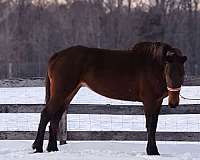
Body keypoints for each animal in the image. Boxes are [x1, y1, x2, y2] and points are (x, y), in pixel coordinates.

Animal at [32, 41, 187, 155]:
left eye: (182, 74)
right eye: (168, 73)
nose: (174, 103)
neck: (152, 65)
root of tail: (57, 56)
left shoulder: (157, 101)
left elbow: (153, 125)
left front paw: (153, 151)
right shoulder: (149, 101)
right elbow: (150, 126)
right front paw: (152, 151)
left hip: (68, 94)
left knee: (55, 118)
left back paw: (52, 149)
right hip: (61, 92)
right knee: (46, 114)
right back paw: (38, 147)